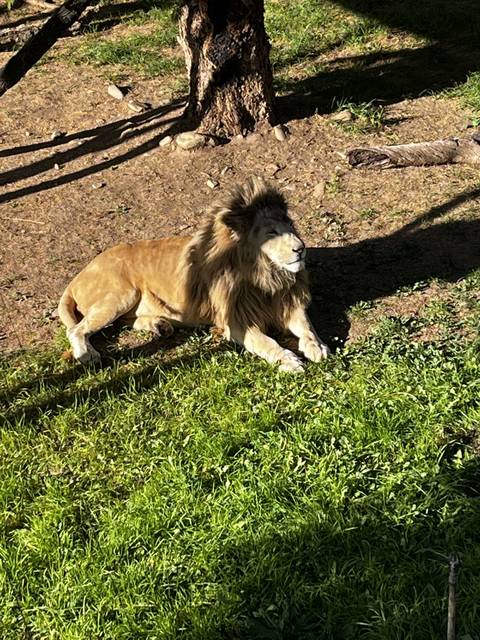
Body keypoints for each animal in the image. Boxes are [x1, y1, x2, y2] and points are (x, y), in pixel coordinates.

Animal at [58, 177, 330, 372]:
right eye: (272, 232)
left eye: (291, 226)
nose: (301, 248)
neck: (267, 277)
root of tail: (76, 278)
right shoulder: (236, 322)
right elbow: (266, 342)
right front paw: (289, 361)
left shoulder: (287, 305)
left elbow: (307, 328)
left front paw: (317, 347)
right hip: (121, 294)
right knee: (77, 329)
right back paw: (87, 354)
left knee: (125, 321)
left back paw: (159, 325)